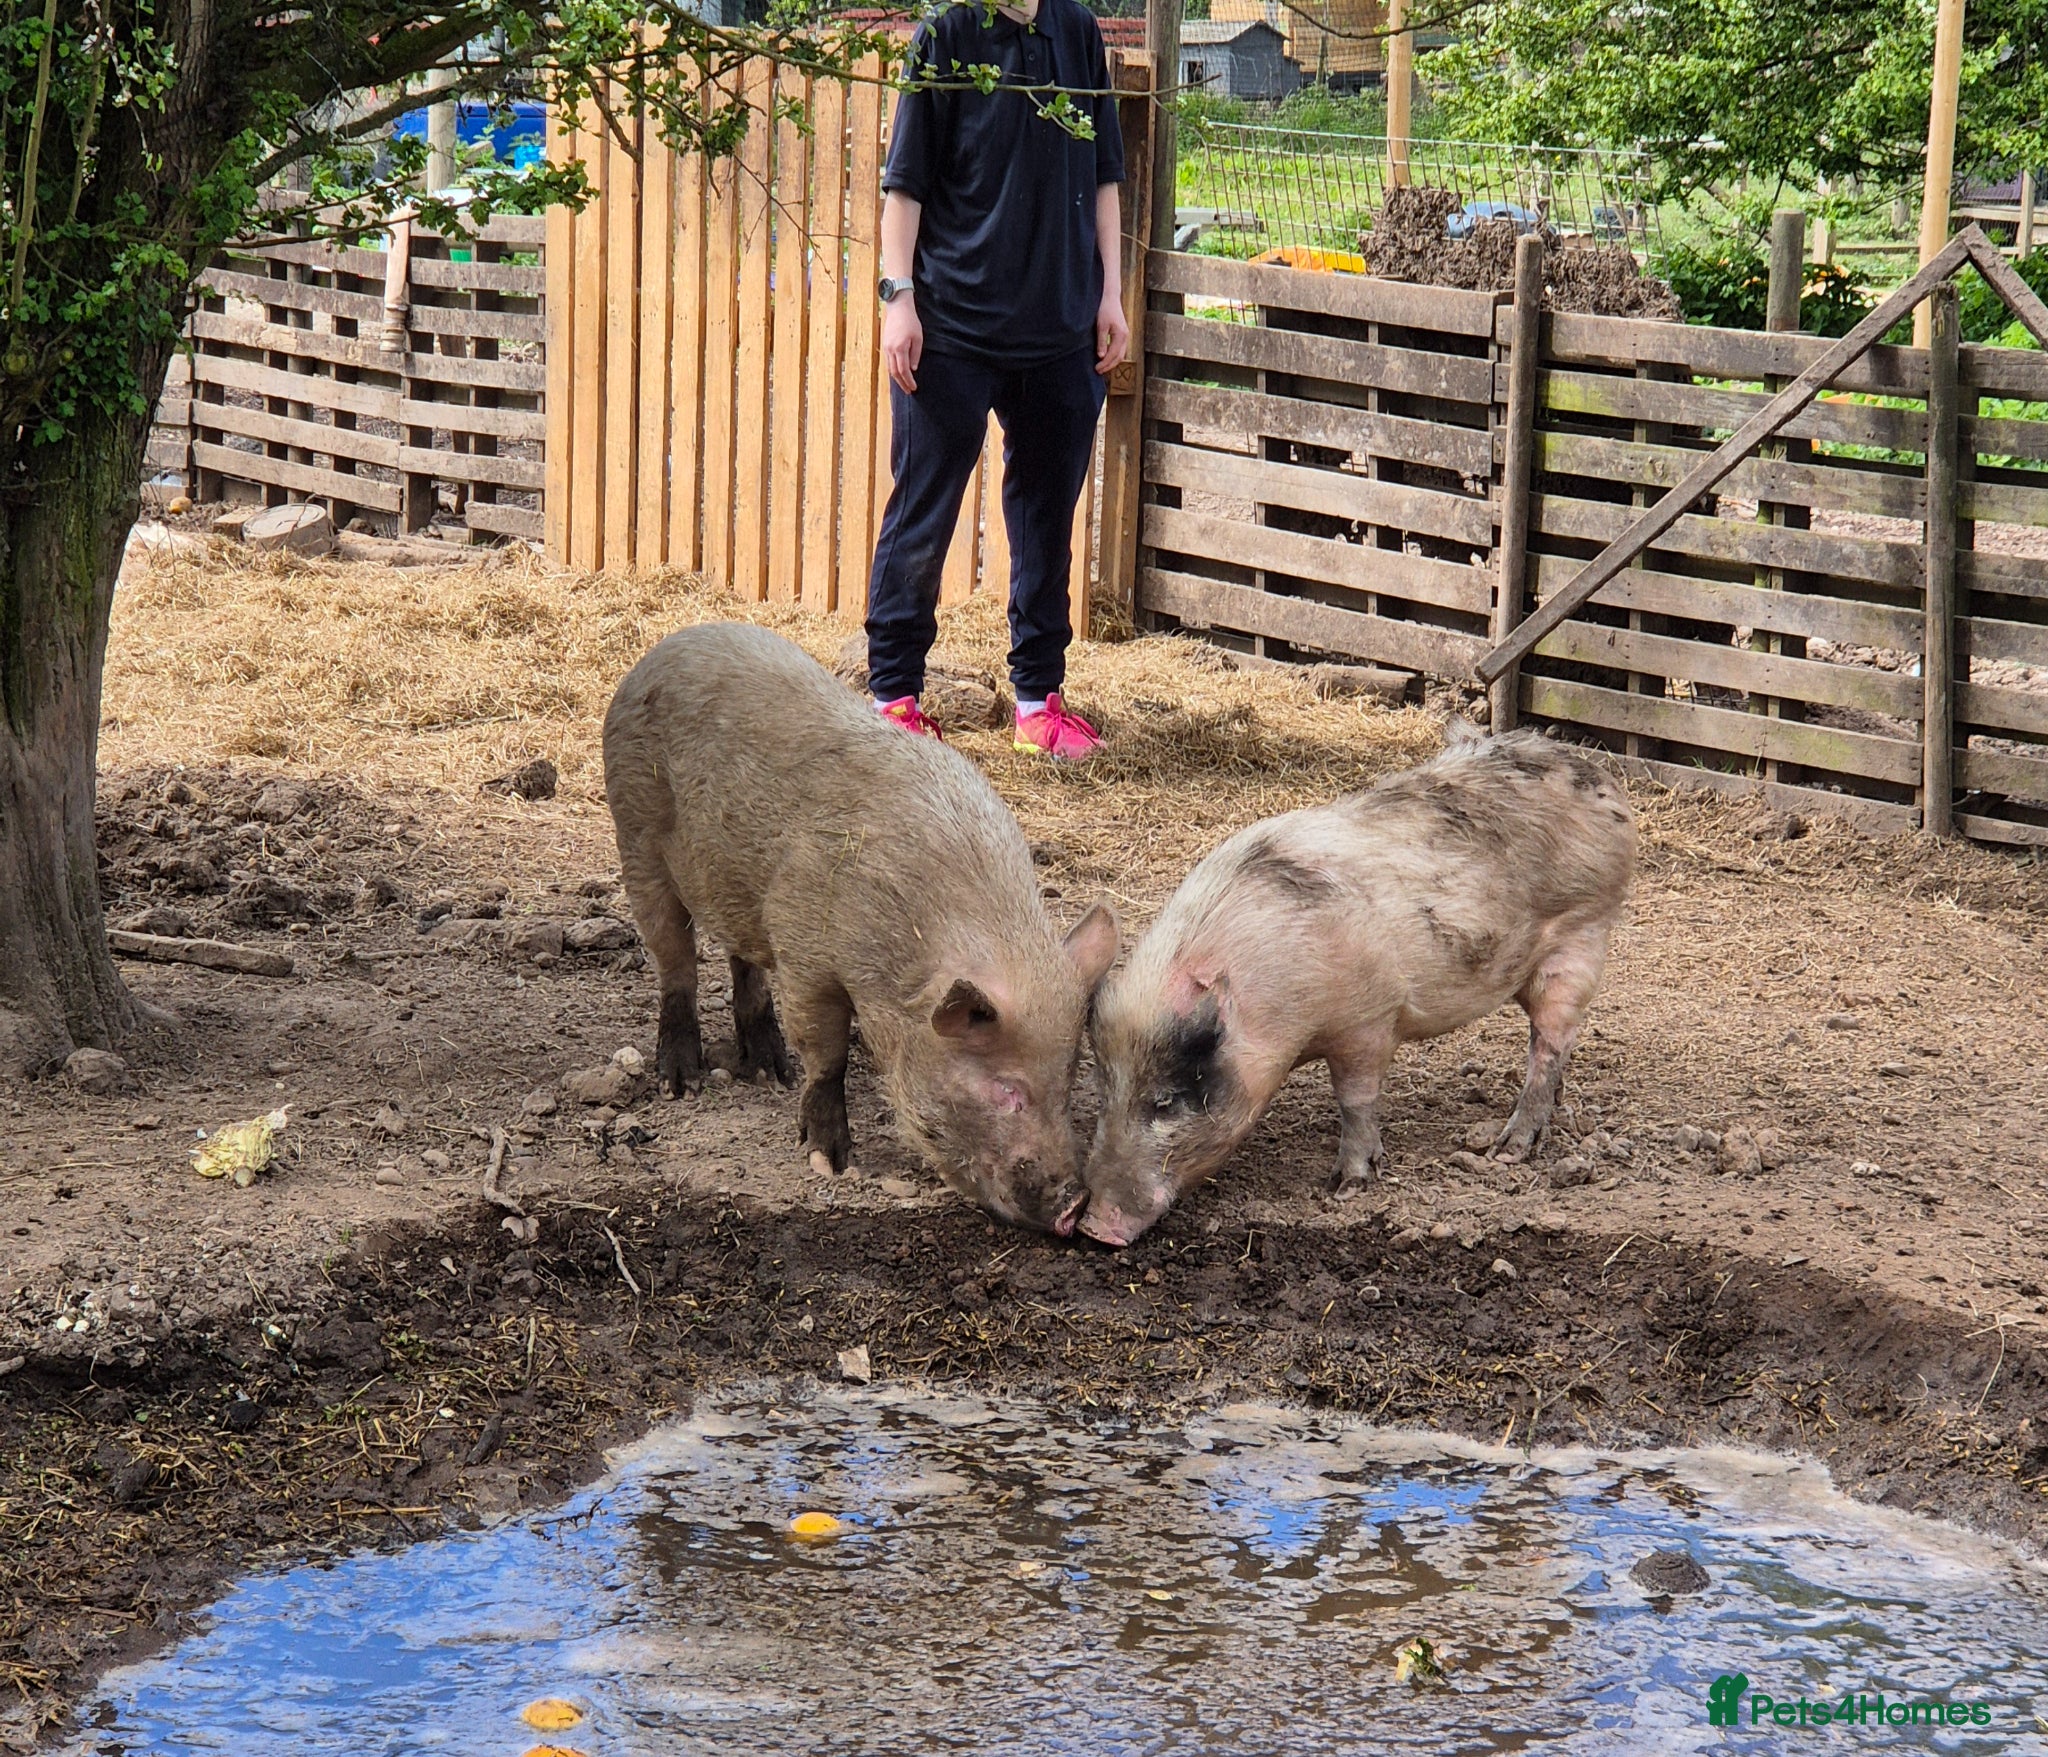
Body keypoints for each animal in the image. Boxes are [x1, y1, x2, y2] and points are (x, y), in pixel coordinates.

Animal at [602, 622, 1118, 1233]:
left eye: (1068, 1080)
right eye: (1007, 1090)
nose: (1074, 1205)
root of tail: (664, 648)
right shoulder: (806, 955)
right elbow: (826, 1054)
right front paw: (829, 1162)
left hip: (731, 884)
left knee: (741, 959)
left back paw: (769, 1071)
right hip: (636, 834)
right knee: (674, 959)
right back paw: (683, 1083)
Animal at [1078, 725, 1635, 1246]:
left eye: (1166, 1101)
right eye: (1104, 1091)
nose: (1092, 1227)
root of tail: (1597, 776)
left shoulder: (1369, 1017)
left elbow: (1356, 1097)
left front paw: (1348, 1185)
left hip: (1583, 935)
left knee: (1551, 1041)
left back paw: (1508, 1151)